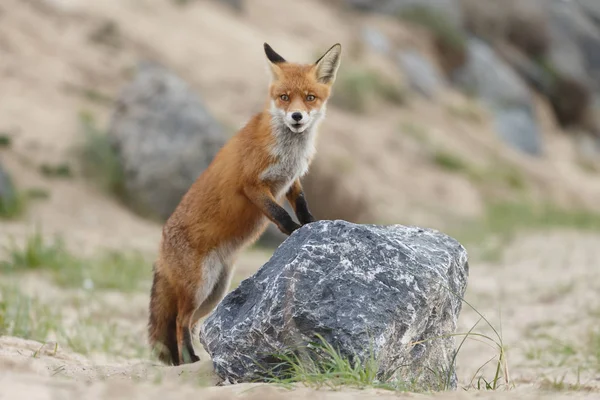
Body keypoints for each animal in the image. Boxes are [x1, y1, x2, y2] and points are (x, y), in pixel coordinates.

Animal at [147, 42, 342, 364]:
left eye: (310, 97)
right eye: (284, 97)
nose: (297, 117)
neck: (289, 152)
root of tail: (160, 247)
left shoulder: (292, 181)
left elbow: (302, 205)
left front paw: (313, 225)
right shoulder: (252, 185)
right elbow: (280, 215)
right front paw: (294, 232)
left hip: (216, 290)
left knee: (190, 322)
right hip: (199, 286)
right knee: (178, 322)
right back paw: (191, 360)